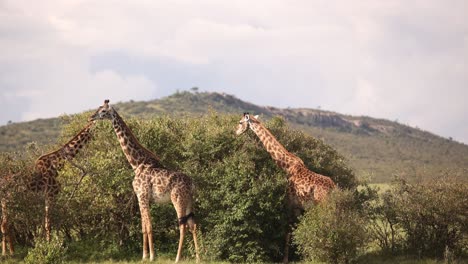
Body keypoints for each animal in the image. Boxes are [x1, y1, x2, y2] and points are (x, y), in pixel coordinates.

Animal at [88, 100, 200, 262]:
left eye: (103, 111)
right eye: (98, 108)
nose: (91, 117)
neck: (137, 164)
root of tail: (192, 184)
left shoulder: (142, 195)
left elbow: (149, 226)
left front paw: (152, 256)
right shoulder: (141, 198)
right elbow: (143, 227)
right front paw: (144, 256)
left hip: (178, 199)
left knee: (182, 226)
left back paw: (177, 258)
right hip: (189, 201)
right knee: (193, 225)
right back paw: (198, 258)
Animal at [236, 112, 334, 262]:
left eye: (241, 122)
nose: (235, 132)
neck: (286, 166)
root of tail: (334, 188)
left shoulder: (290, 202)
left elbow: (288, 230)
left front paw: (286, 259)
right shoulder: (299, 207)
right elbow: (298, 229)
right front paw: (302, 255)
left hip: (322, 205)